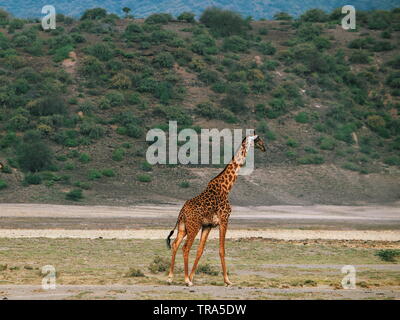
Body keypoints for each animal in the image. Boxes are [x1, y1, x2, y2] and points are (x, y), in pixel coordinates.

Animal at [166, 134, 266, 286]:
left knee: (175, 244)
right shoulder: (224, 220)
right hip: (193, 227)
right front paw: (227, 280)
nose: (264, 148)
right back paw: (186, 280)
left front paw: (192, 276)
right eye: (258, 140)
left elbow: (200, 250)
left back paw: (171, 277)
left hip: (183, 227)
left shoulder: (208, 225)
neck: (226, 187)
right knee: (185, 247)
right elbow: (221, 250)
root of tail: (182, 212)